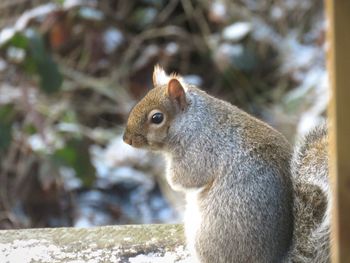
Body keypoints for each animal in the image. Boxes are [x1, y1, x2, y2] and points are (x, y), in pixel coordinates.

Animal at [123, 66, 330, 263]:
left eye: (157, 118)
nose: (126, 139)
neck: (191, 119)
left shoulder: (199, 151)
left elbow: (184, 179)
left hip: (206, 235)